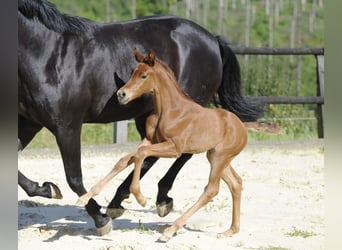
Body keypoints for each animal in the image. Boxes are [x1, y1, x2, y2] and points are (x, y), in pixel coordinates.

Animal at [79, 48, 247, 240]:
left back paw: (170, 230)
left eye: (144, 76)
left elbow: (142, 154)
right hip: (215, 157)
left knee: (211, 190)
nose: (121, 94)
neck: (170, 110)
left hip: (220, 157)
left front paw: (141, 198)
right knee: (236, 183)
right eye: (132, 73)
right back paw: (231, 230)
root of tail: (242, 128)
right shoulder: (150, 140)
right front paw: (85, 197)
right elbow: (124, 160)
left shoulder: (174, 148)